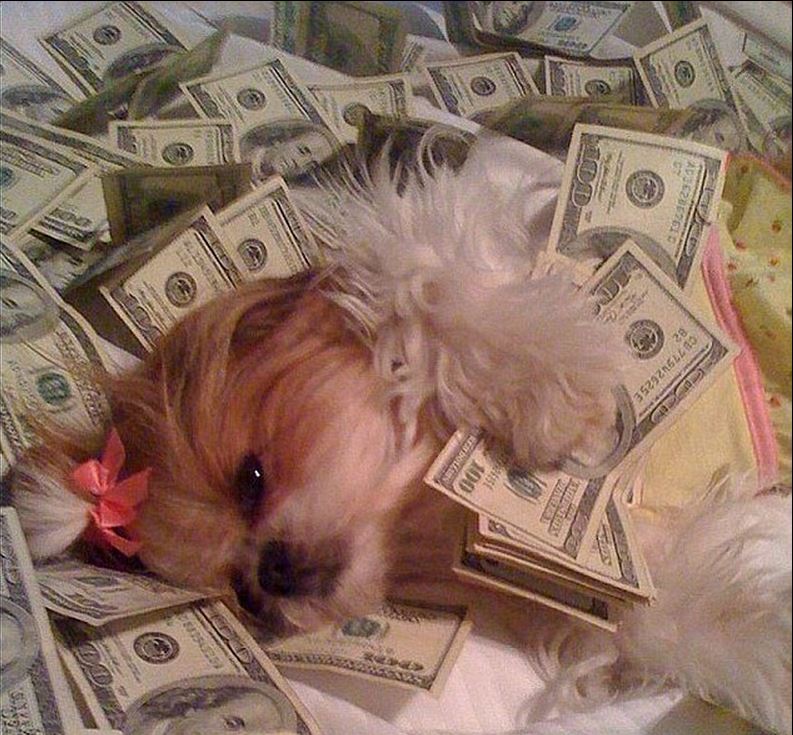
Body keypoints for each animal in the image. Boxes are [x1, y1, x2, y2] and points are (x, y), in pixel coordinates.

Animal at [9, 136, 791, 733]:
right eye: (237, 595)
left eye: (250, 478)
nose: (270, 575)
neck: (417, 502)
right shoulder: (596, 573)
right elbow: (672, 618)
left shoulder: (434, 240)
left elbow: (431, 296)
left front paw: (551, 397)